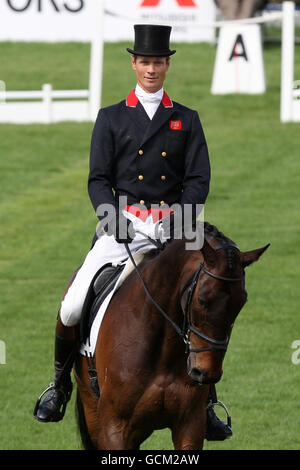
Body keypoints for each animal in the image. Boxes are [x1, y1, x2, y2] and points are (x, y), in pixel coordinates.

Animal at [73, 224, 270, 452]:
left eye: (241, 302)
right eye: (202, 300)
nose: (205, 373)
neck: (161, 350)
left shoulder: (190, 425)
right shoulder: (114, 428)